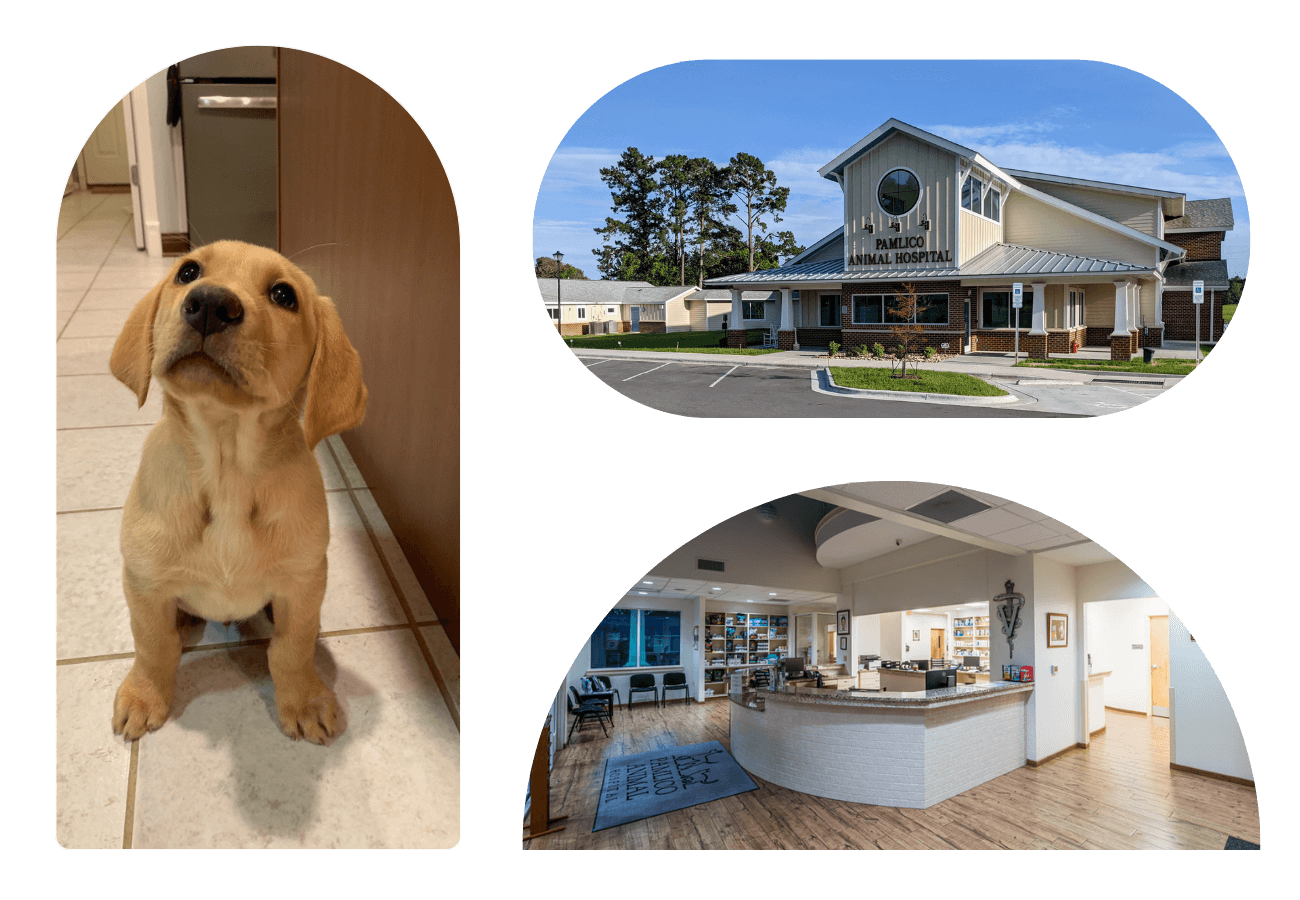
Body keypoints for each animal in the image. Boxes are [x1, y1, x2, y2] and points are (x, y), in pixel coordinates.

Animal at [109, 239, 369, 743]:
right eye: (188, 272)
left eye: (284, 295)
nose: (210, 304)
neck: (227, 471)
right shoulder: (142, 581)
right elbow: (153, 643)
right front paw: (145, 695)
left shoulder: (303, 582)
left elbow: (291, 647)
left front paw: (304, 699)